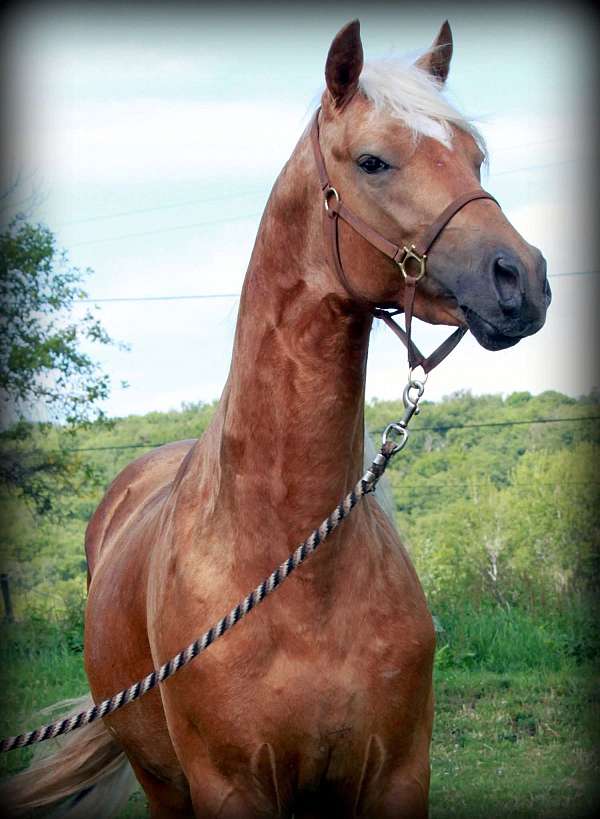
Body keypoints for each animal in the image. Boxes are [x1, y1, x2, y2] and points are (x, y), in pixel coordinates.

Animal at [5, 18, 550, 819]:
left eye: (474, 154)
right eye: (373, 161)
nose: (523, 279)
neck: (293, 565)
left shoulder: (396, 778)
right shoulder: (231, 788)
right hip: (162, 785)